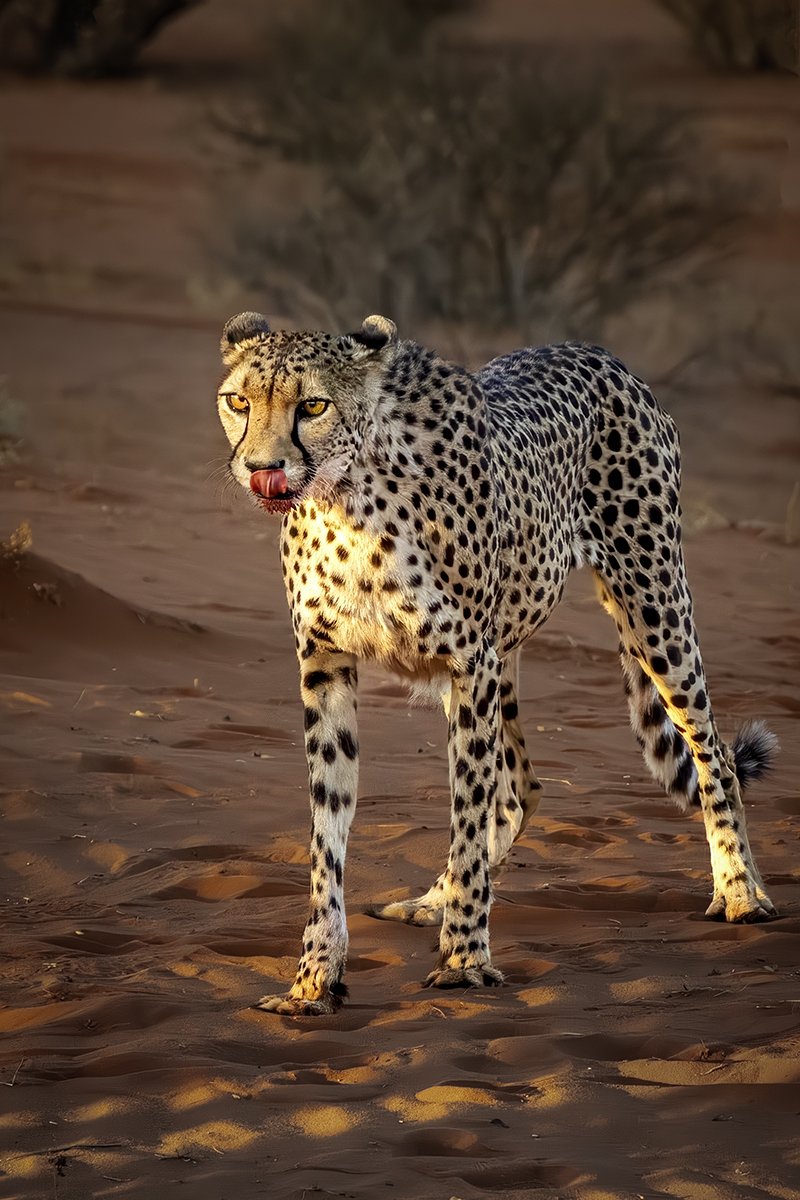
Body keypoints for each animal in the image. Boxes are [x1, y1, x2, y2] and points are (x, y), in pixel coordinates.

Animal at [215, 310, 777, 1016]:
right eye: (239, 402)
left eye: (312, 405)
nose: (261, 468)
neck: (345, 499)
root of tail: (595, 350)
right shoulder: (328, 665)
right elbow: (329, 831)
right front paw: (315, 976)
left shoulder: (468, 663)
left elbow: (465, 808)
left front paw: (464, 960)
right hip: (508, 654)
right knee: (520, 787)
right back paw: (433, 899)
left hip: (653, 607)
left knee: (714, 757)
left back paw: (741, 891)